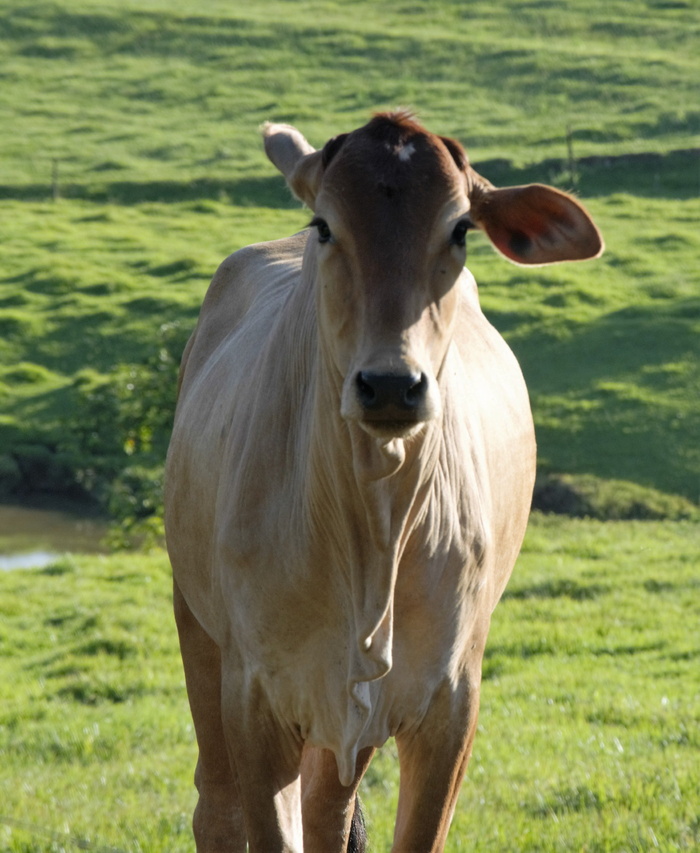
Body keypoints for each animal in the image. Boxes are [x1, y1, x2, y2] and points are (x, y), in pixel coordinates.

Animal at [164, 111, 600, 852]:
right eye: (325, 225)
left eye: (460, 229)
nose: (392, 383)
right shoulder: (254, 697)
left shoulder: (448, 703)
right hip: (197, 627)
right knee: (215, 807)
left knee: (327, 808)